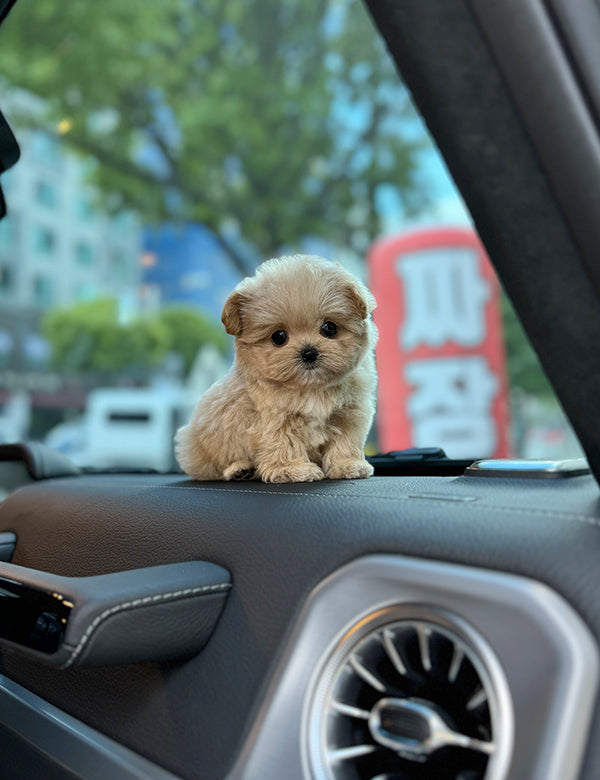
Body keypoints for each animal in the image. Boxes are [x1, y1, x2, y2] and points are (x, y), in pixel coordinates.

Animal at [173, 254, 378, 482]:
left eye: (329, 328)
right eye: (278, 337)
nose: (309, 353)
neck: (310, 388)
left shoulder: (349, 414)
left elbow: (345, 442)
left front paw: (347, 465)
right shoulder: (276, 419)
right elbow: (285, 443)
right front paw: (294, 469)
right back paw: (239, 469)